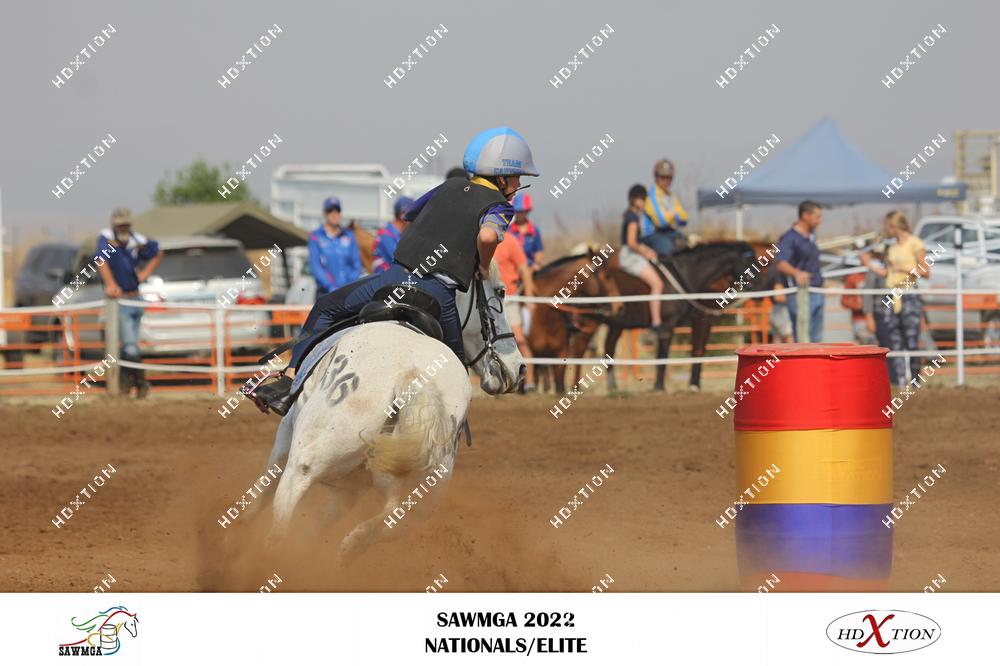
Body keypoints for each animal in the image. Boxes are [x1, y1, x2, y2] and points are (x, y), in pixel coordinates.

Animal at [254, 263, 523, 562]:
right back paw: (346, 550)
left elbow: (258, 499)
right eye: (501, 291)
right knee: (389, 520)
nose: (519, 367)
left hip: (305, 464)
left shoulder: (285, 443)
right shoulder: (349, 491)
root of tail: (412, 376)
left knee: (280, 528)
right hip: (422, 492)